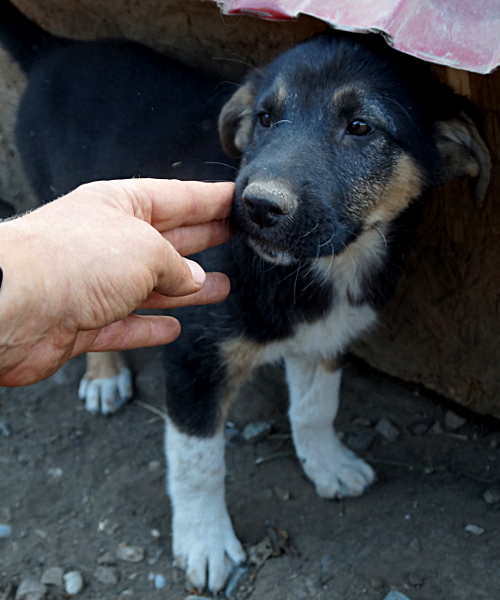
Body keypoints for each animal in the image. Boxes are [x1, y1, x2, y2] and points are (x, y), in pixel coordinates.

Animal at [0, 0, 490, 592]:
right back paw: (104, 376)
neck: (318, 270)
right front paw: (206, 542)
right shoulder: (194, 357)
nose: (257, 205)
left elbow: (316, 408)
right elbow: (198, 462)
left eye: (360, 127)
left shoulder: (327, 338)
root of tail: (55, 50)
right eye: (265, 119)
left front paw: (327, 464)